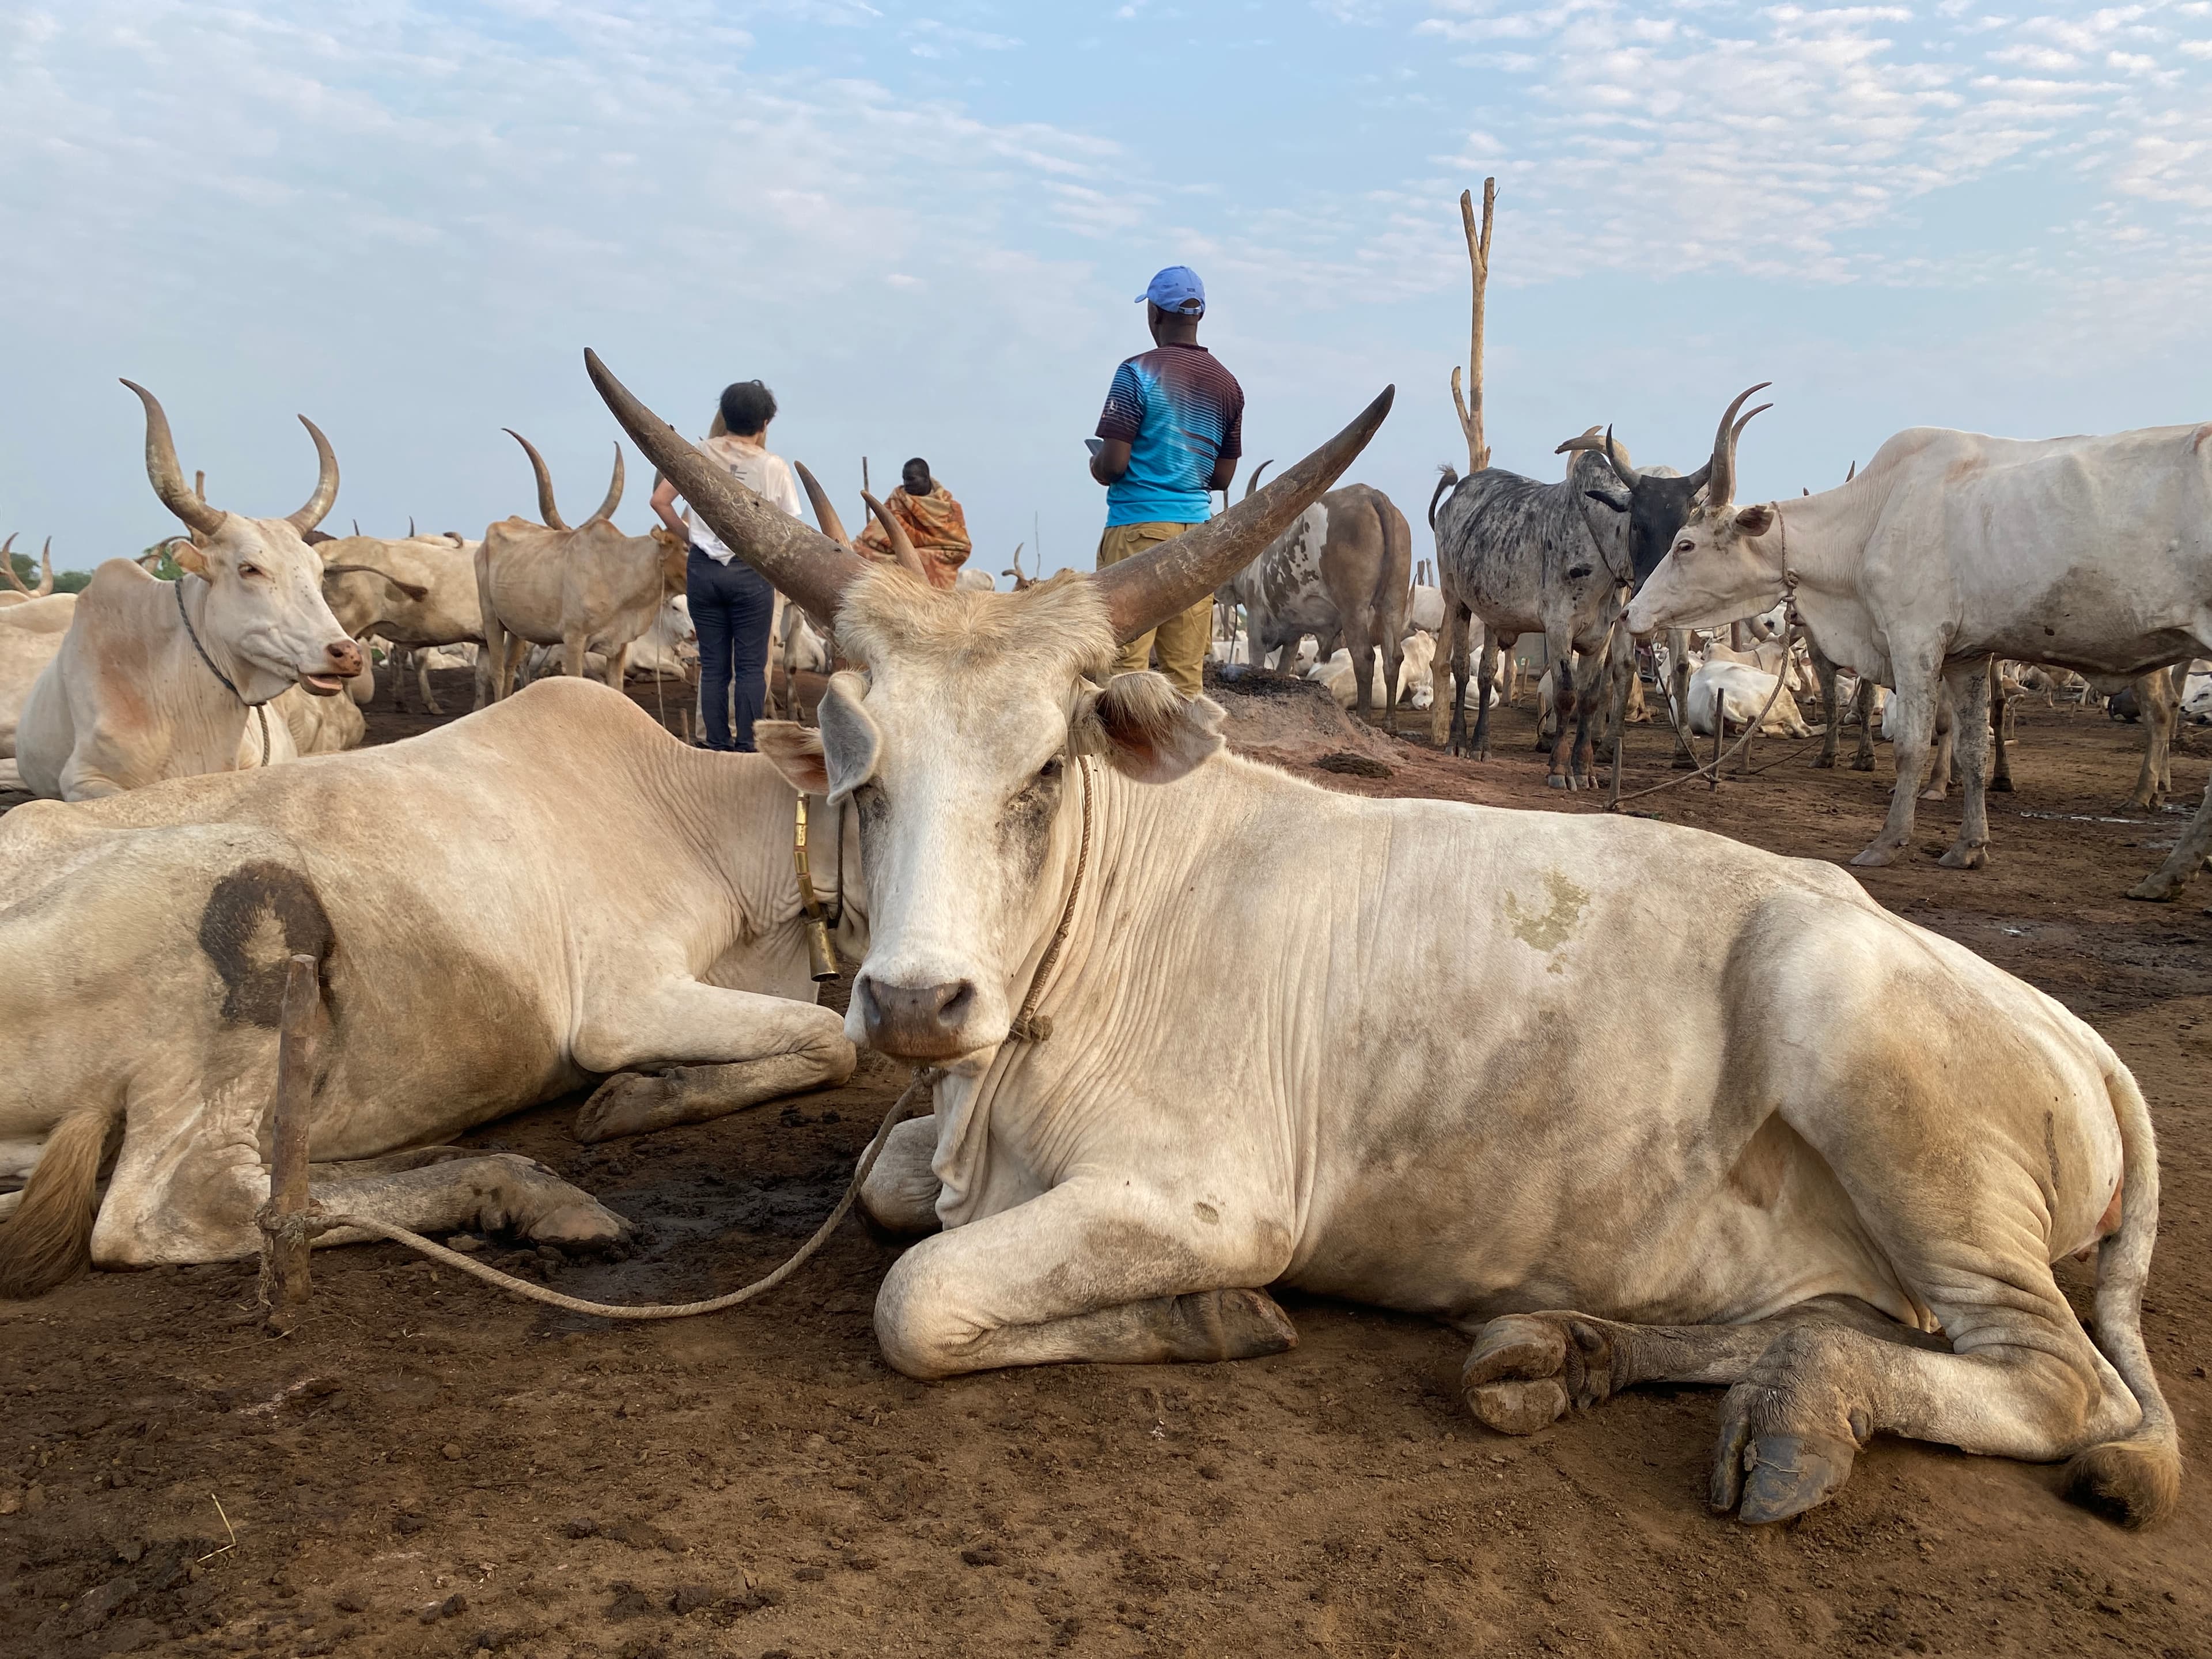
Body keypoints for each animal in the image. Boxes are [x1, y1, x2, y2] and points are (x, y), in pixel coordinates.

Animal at [0, 678, 866, 1294]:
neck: (706, 824)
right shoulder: (621, 1005)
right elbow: (835, 1040)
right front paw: (633, 1100)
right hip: (249, 904)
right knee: (179, 1208)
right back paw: (521, 1193)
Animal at [476, 432, 687, 701]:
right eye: (686, 547)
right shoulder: (574, 640)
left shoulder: (619, 647)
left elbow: (617, 688)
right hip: (491, 618)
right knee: (498, 672)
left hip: (517, 629)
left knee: (510, 665)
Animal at [1214, 471, 1412, 729]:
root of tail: (1372, 495)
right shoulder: (1293, 636)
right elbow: (1283, 666)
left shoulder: (1256, 623)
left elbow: (1257, 662)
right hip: (1393, 602)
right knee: (1393, 657)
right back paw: (1390, 722)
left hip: (1353, 609)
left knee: (1364, 656)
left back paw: (1363, 717)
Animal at [1626, 413, 2212, 877]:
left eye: (1686, 545)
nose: (1631, 612)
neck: (1872, 517)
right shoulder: (1969, 658)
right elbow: (1974, 749)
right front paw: (1969, 847)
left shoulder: (1915, 642)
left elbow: (1912, 744)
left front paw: (1888, 842)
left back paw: (2168, 866)